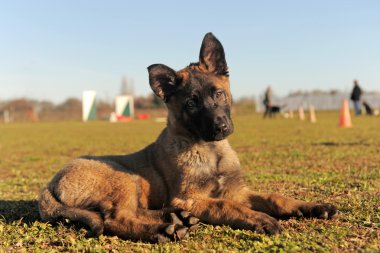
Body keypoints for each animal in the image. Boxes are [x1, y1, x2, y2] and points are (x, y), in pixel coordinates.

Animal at [37, 32, 336, 242]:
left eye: (218, 93)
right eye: (191, 104)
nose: (221, 127)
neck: (210, 150)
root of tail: (49, 185)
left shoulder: (237, 191)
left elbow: (275, 198)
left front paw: (312, 207)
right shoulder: (190, 197)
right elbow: (227, 206)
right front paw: (260, 218)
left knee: (138, 211)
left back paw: (176, 219)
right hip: (125, 179)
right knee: (116, 219)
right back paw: (161, 231)